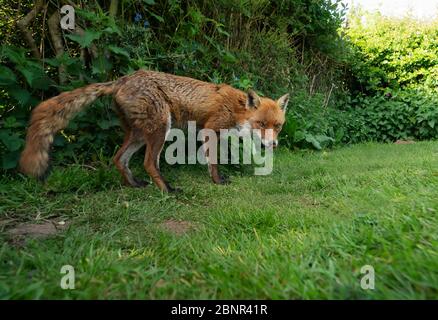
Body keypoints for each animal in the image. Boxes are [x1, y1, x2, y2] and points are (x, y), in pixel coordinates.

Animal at [19, 69, 288, 191]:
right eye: (261, 125)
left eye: (278, 126)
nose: (273, 145)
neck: (237, 109)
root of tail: (124, 78)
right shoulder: (210, 129)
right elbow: (214, 162)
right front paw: (218, 181)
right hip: (160, 128)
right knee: (149, 163)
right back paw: (167, 190)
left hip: (139, 133)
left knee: (119, 158)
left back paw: (135, 184)